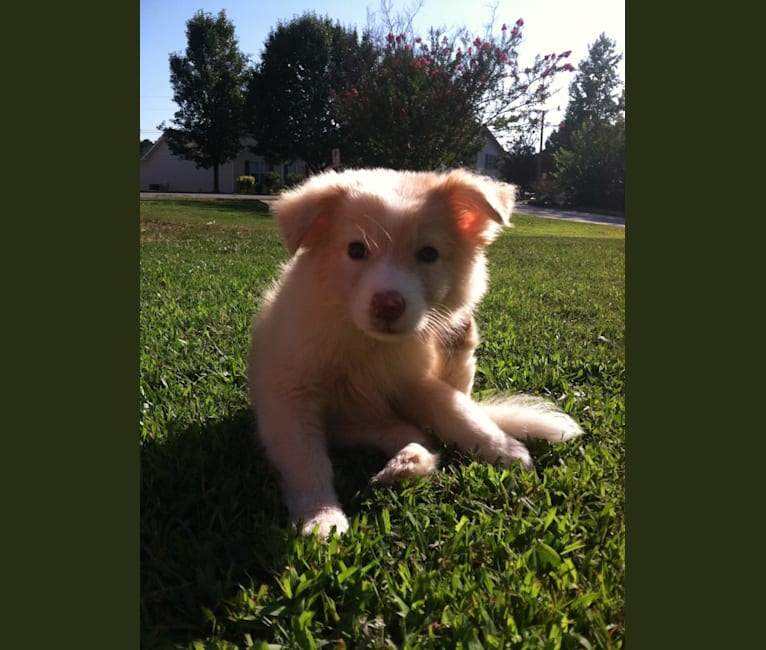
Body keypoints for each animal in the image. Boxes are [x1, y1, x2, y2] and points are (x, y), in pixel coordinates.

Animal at [249, 168, 584, 536]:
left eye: (428, 254)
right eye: (356, 249)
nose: (388, 305)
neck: (369, 344)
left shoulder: (413, 381)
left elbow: (457, 413)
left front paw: (508, 453)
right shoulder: (291, 395)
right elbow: (307, 461)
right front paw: (321, 519)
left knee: (428, 426)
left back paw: (407, 461)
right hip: (354, 423)